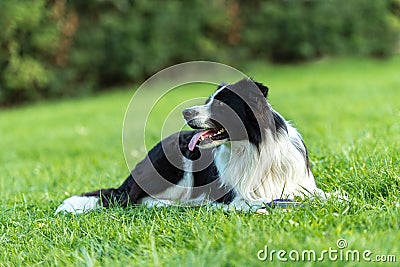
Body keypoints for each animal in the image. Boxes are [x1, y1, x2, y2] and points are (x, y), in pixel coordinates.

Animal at [56, 78, 324, 215]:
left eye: (220, 105)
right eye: (207, 101)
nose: (185, 112)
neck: (252, 146)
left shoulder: (299, 184)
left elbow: (319, 195)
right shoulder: (234, 197)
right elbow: (260, 201)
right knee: (139, 200)